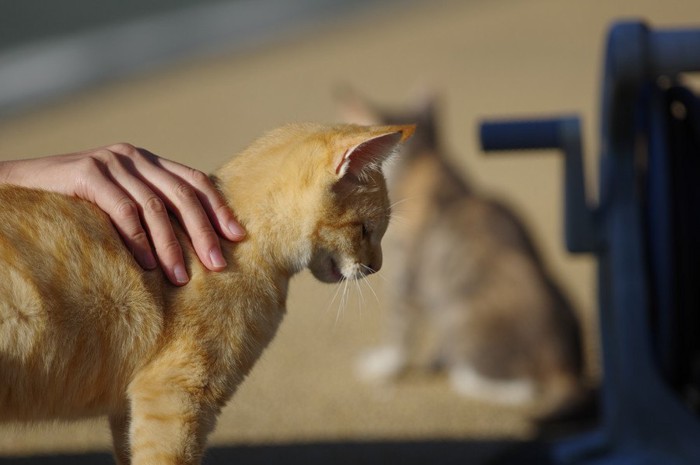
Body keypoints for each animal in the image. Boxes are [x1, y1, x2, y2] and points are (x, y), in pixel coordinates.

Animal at [340, 89, 584, 416]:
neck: (422, 162)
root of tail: (563, 365)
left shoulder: (406, 273)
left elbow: (400, 327)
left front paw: (384, 365)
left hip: (462, 316)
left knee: (525, 387)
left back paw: (461, 375)